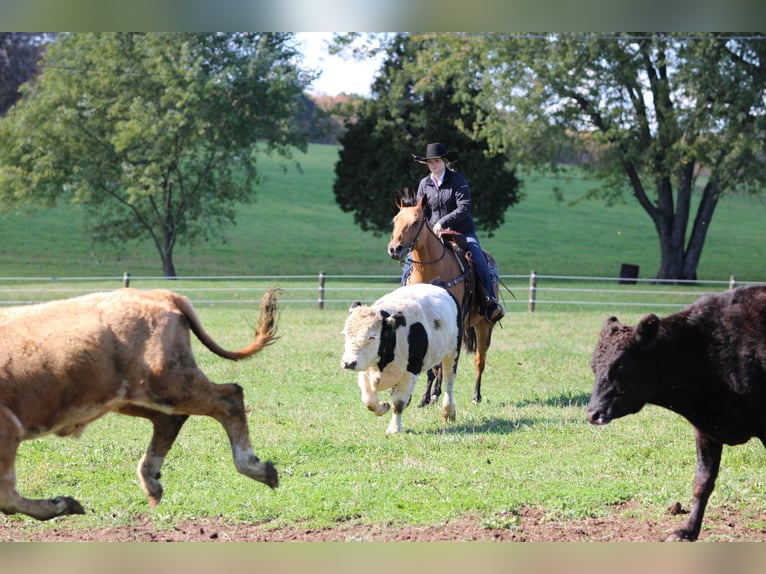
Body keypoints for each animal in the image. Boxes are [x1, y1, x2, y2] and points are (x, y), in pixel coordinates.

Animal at [387, 193, 501, 406]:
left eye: (416, 222)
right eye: (395, 220)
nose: (394, 249)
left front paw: (427, 395)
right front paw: (421, 395)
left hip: (484, 325)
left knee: (479, 360)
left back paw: (475, 396)